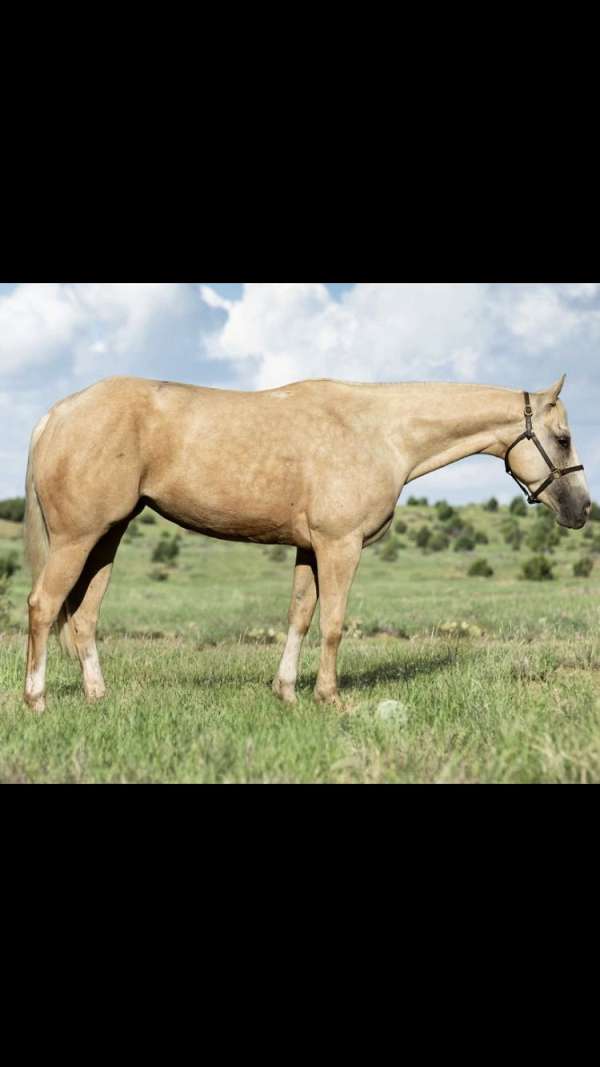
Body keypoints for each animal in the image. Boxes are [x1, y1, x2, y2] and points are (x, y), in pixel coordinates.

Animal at [23, 374, 590, 712]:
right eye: (562, 438)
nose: (582, 509)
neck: (379, 432)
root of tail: (57, 413)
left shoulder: (308, 549)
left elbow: (298, 616)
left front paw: (287, 691)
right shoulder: (341, 545)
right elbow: (333, 623)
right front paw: (329, 696)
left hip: (106, 538)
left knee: (84, 616)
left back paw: (97, 695)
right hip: (76, 538)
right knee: (43, 607)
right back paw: (36, 700)